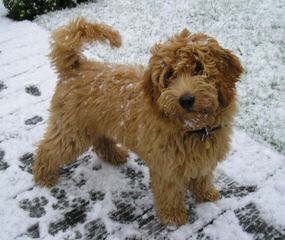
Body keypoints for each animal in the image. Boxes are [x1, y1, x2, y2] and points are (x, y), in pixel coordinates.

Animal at [33, 18, 242, 225]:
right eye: (170, 75)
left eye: (199, 68)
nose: (186, 100)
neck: (195, 130)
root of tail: (77, 66)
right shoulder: (166, 165)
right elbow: (170, 192)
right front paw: (174, 216)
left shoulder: (203, 158)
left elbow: (202, 177)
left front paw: (206, 194)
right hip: (71, 129)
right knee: (48, 148)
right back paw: (44, 176)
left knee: (101, 142)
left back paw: (114, 155)